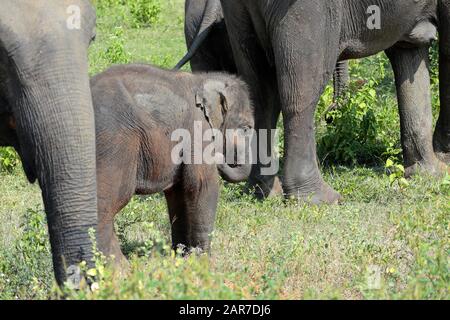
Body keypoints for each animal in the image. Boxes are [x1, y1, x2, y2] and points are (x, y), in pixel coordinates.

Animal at [90, 63, 255, 264]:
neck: (205, 79)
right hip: (114, 143)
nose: (220, 158)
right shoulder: (197, 129)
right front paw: (203, 262)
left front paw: (181, 257)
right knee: (109, 201)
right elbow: (202, 185)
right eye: (246, 128)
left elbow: (178, 192)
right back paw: (117, 266)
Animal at [217, 0, 446, 204]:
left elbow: (408, 50)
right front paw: (444, 162)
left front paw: (430, 173)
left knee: (260, 92)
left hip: (237, 13)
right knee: (302, 88)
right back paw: (320, 199)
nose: (331, 115)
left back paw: (261, 193)